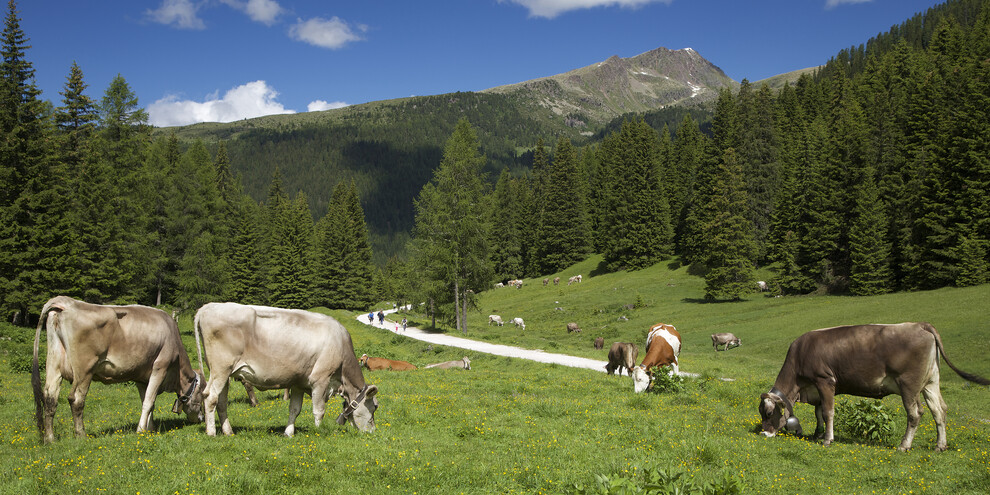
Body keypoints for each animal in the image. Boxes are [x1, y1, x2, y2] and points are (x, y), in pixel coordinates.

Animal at [31, 296, 205, 444]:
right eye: (201, 396)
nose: (202, 418)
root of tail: (66, 302)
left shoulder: (142, 378)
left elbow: (148, 401)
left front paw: (150, 428)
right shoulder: (160, 367)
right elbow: (149, 402)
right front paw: (141, 430)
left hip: (53, 365)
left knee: (50, 398)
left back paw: (50, 439)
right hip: (85, 369)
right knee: (76, 399)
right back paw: (81, 435)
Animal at [195, 302, 380, 438]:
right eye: (374, 407)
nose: (373, 431)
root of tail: (208, 307)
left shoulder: (299, 382)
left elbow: (294, 409)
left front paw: (288, 433)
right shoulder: (320, 379)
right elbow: (319, 410)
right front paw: (319, 432)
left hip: (224, 373)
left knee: (221, 401)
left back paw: (228, 431)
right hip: (221, 369)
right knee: (210, 397)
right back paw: (211, 432)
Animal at [764, 324, 988, 452]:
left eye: (767, 413)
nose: (764, 434)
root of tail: (919, 325)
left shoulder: (825, 380)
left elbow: (828, 412)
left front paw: (827, 440)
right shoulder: (816, 387)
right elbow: (819, 412)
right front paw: (817, 434)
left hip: (909, 385)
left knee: (915, 413)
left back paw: (904, 445)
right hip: (931, 382)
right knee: (939, 410)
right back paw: (940, 445)